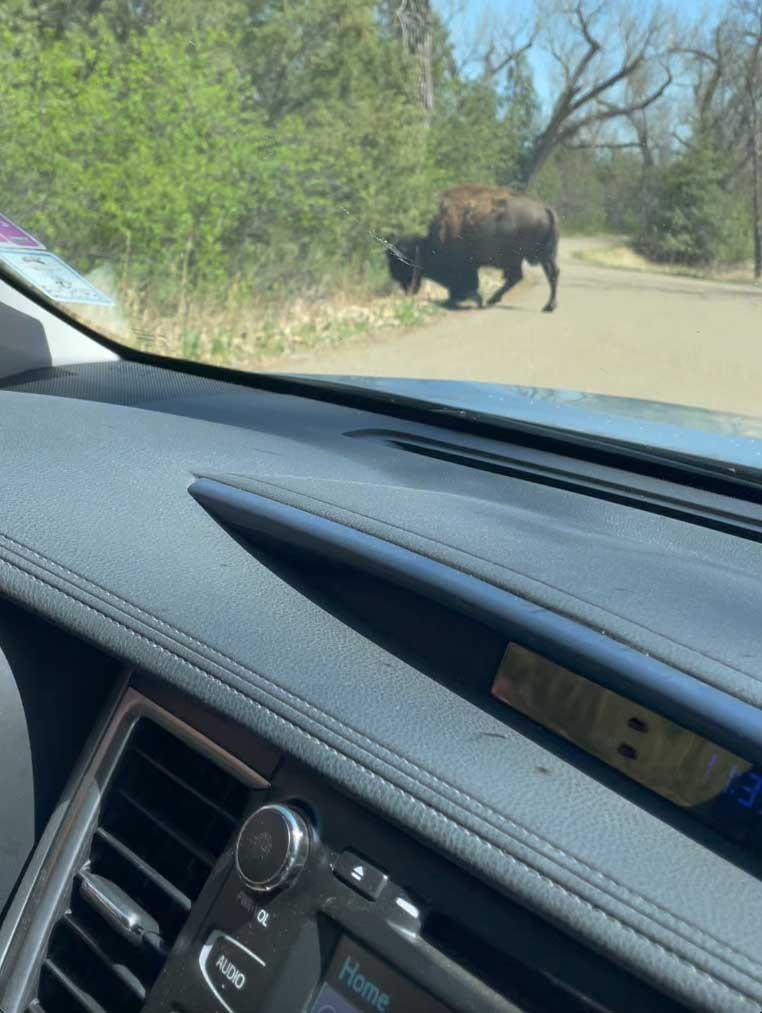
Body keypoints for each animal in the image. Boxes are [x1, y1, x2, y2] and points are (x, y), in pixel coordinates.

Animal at [387, 185, 559, 312]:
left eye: (398, 262)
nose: (408, 289)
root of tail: (545, 208)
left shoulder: (464, 266)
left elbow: (466, 282)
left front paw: (462, 298)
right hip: (542, 256)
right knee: (549, 274)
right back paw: (547, 306)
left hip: (525, 257)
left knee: (524, 276)